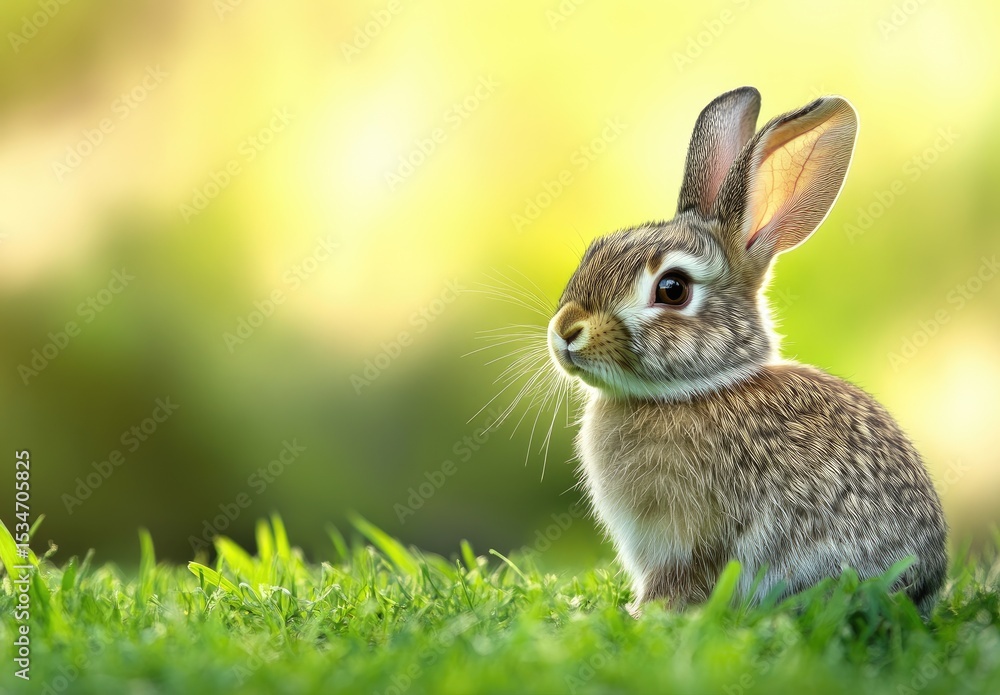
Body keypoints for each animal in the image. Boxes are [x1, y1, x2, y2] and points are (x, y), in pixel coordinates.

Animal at [546, 87, 948, 616]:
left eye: (672, 289)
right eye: (596, 248)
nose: (565, 331)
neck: (696, 390)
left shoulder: (690, 537)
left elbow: (681, 580)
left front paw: (642, 614)